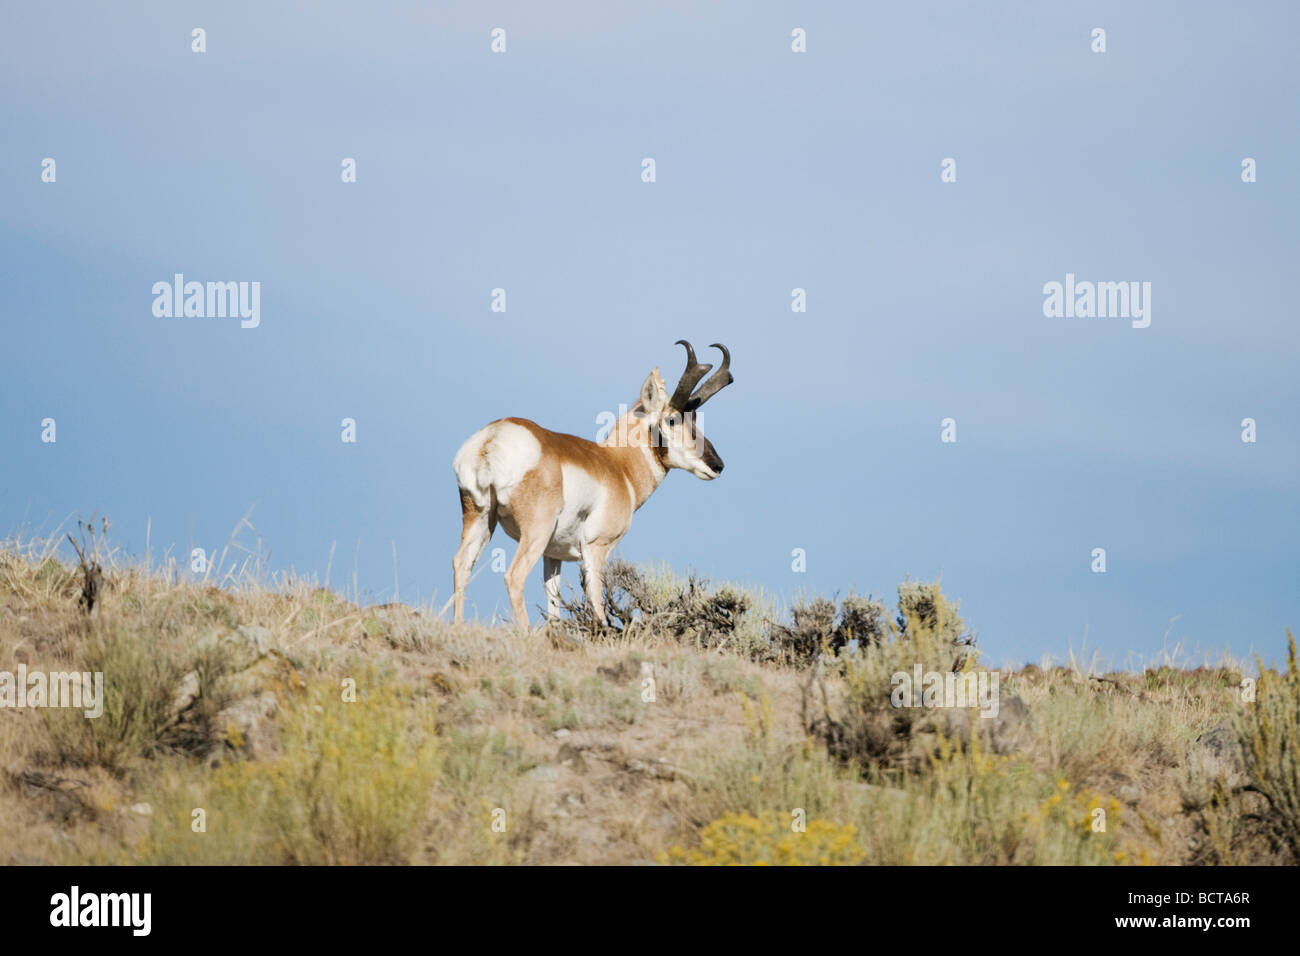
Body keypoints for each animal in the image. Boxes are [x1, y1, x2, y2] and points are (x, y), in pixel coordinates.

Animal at [452, 343, 733, 629]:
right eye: (673, 419)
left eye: (695, 417)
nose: (717, 465)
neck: (617, 464)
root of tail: (494, 436)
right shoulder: (596, 549)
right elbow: (597, 606)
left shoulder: (553, 555)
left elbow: (554, 606)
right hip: (535, 533)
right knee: (514, 576)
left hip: (481, 519)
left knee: (461, 564)